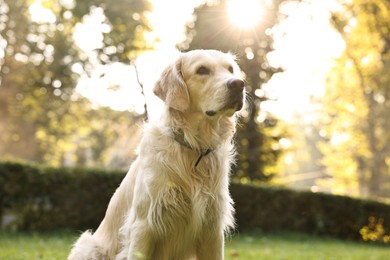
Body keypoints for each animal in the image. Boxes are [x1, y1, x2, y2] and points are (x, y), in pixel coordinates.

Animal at [68, 49, 245, 258]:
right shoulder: (144, 226)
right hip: (88, 246)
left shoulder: (212, 230)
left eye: (230, 69)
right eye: (202, 70)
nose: (239, 84)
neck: (194, 149)